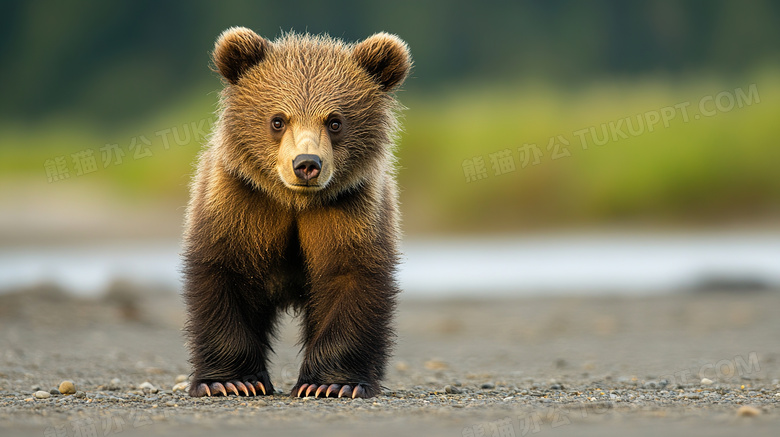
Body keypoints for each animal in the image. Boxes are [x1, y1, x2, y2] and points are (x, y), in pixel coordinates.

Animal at [184, 25, 414, 396]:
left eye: (335, 121)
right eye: (278, 120)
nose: (307, 164)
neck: (295, 202)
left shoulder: (348, 209)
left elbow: (350, 275)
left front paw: (331, 384)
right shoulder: (243, 202)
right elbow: (226, 269)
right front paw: (232, 381)